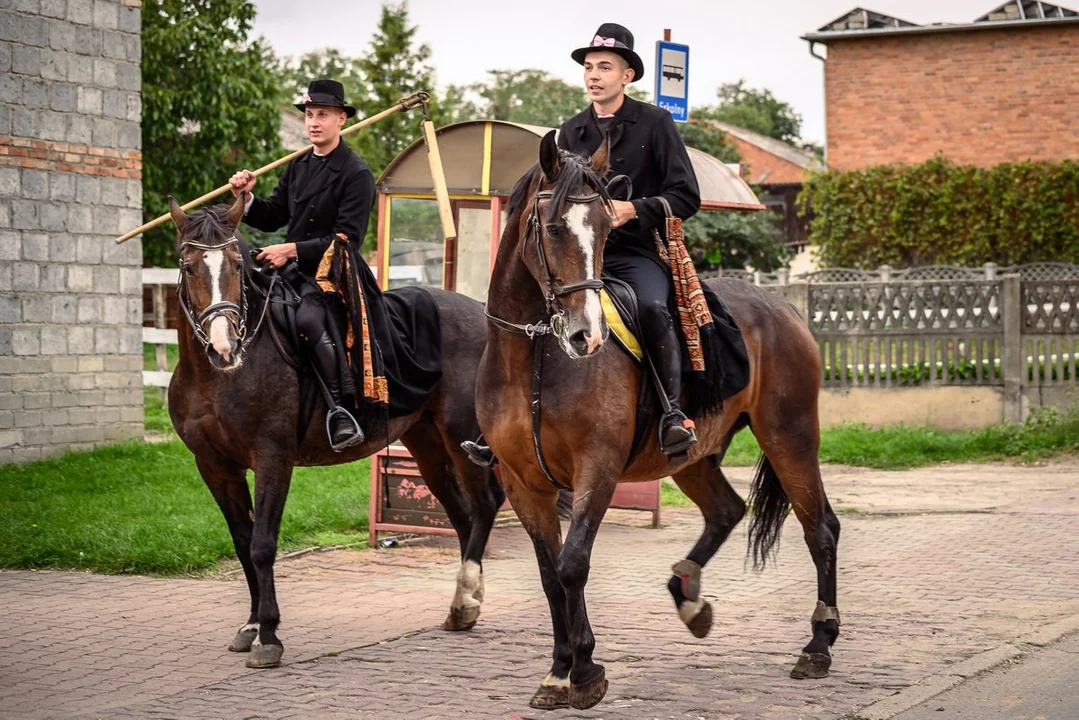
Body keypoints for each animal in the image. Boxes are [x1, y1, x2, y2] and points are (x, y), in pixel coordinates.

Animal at [168, 193, 504, 669]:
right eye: (189, 264)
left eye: (235, 263)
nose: (223, 345)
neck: (218, 377)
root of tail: (481, 312)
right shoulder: (215, 467)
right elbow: (242, 542)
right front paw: (250, 626)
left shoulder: (273, 459)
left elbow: (263, 544)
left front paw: (269, 635)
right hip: (427, 443)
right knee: (464, 515)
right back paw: (463, 605)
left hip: (461, 436)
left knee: (486, 503)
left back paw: (466, 599)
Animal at [481, 132, 841, 712]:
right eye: (554, 228)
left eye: (607, 229)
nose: (587, 336)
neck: (532, 355)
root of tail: (782, 307)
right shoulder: (523, 483)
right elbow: (550, 576)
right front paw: (559, 672)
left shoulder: (597, 468)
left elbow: (573, 564)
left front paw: (586, 670)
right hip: (693, 456)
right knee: (726, 510)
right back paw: (688, 597)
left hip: (790, 436)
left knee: (820, 529)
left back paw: (818, 644)